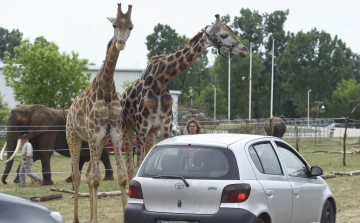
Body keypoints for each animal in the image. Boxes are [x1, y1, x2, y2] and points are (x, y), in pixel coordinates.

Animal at [65, 3, 133, 223]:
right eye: (114, 25)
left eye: (131, 26)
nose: (120, 43)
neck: (107, 86)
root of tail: (69, 110)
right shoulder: (94, 134)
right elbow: (96, 179)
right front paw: (93, 219)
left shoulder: (114, 133)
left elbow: (121, 177)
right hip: (74, 137)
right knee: (78, 176)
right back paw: (77, 218)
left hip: (99, 141)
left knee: (87, 174)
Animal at [121, 13, 250, 181]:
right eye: (224, 34)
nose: (245, 50)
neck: (160, 81)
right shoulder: (142, 127)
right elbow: (138, 165)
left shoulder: (165, 125)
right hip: (127, 128)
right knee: (128, 168)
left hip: (152, 131)